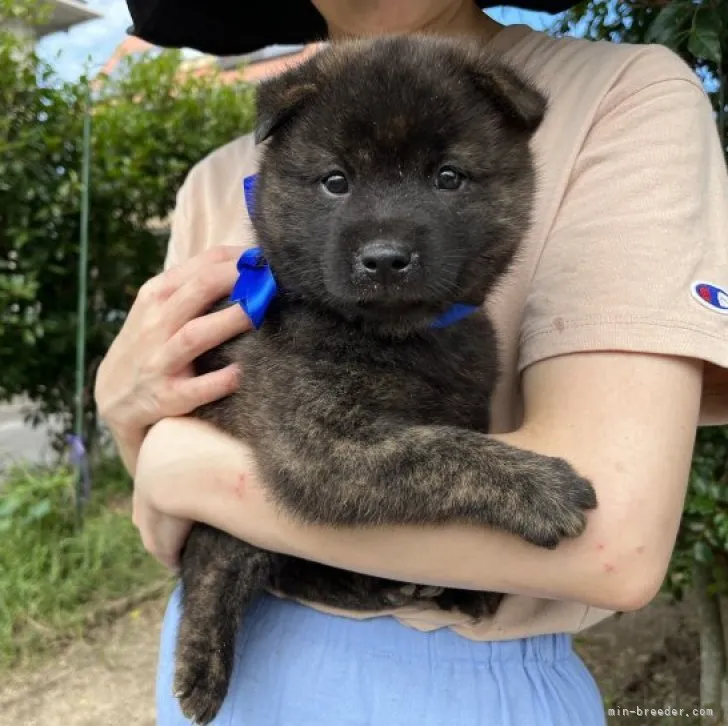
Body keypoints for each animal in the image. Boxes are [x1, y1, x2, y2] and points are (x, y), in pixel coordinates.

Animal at [172, 35, 596, 726]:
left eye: (447, 177)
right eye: (335, 182)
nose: (385, 259)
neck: (396, 338)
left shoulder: (463, 402)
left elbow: (451, 438)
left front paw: (470, 586)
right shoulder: (320, 443)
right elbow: (436, 451)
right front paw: (538, 487)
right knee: (219, 560)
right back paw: (203, 665)